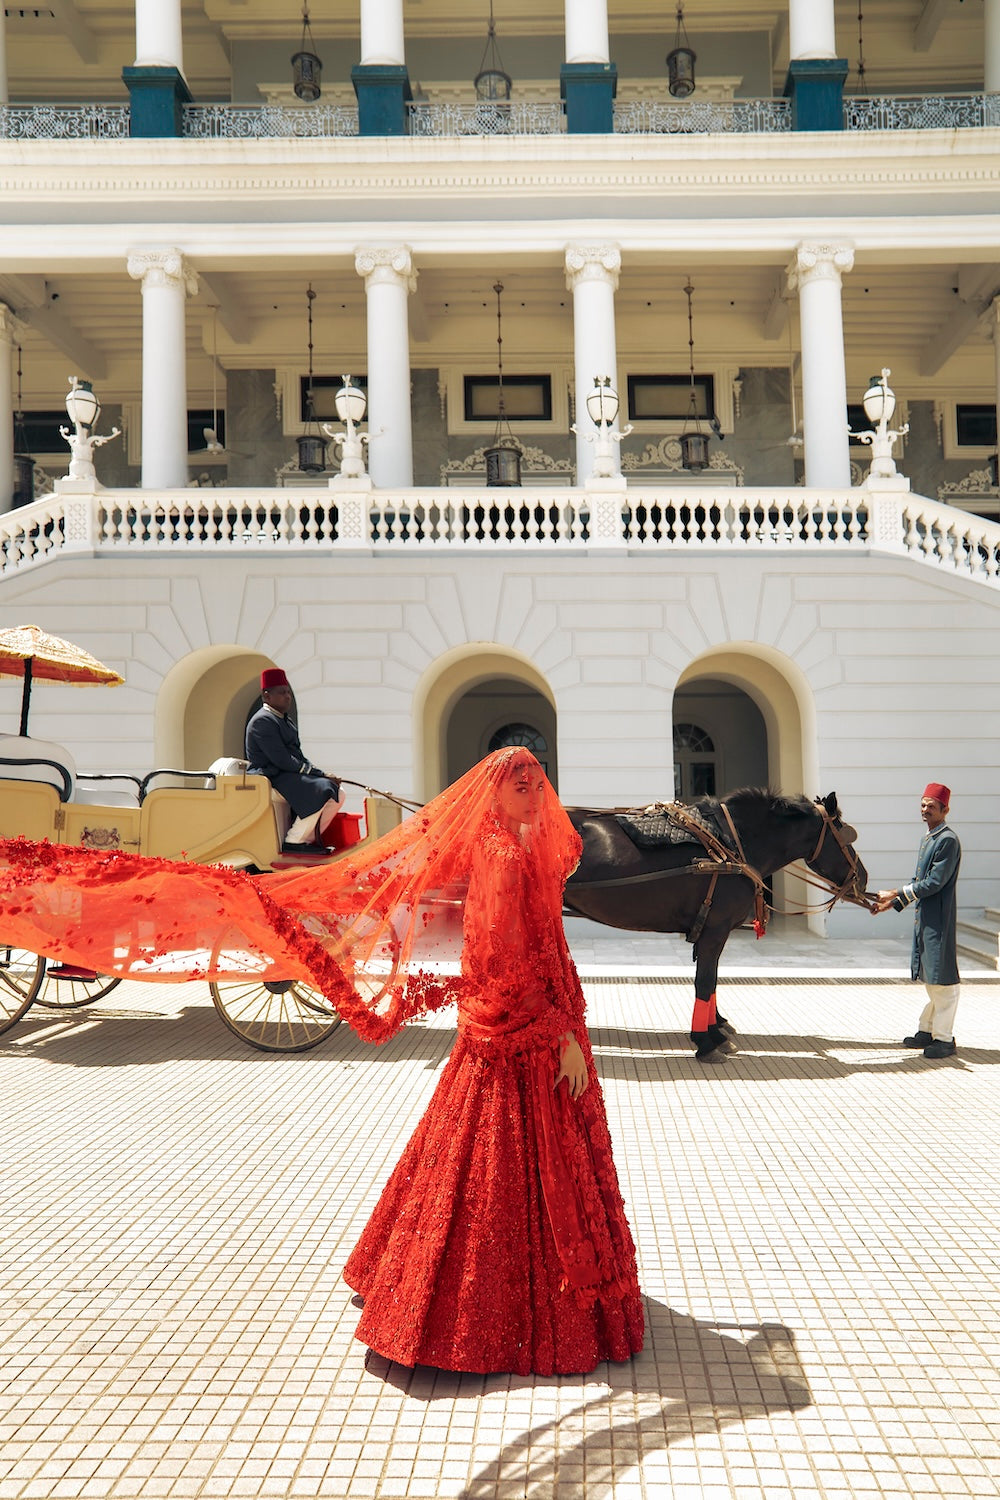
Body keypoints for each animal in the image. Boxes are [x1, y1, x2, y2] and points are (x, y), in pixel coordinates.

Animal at [563, 792, 869, 1062]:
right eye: (844, 834)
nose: (863, 877)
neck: (732, 847)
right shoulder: (715, 931)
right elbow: (705, 981)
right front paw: (706, 1041)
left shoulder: (713, 932)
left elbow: (711, 982)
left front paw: (716, 1029)